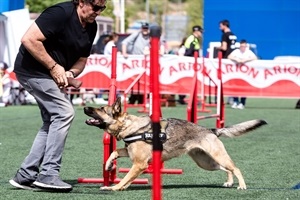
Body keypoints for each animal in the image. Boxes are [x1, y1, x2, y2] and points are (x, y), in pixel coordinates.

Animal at [82, 97, 268, 191]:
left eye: (101, 109)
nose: (85, 108)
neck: (129, 126)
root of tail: (210, 129)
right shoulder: (131, 155)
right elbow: (114, 152)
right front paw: (108, 166)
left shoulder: (140, 164)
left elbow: (126, 177)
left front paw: (114, 187)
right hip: (206, 162)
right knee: (227, 169)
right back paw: (229, 182)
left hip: (216, 157)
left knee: (235, 168)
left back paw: (241, 186)